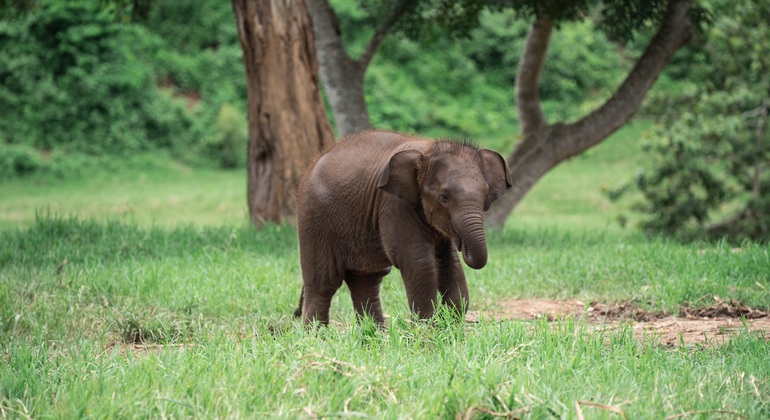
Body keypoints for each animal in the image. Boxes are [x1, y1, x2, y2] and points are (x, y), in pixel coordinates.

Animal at [294, 130, 511, 325]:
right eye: (444, 197)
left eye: (485, 196)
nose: (462, 244)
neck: (428, 148)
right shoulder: (394, 205)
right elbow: (418, 262)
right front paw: (428, 329)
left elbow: (450, 262)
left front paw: (450, 326)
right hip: (314, 222)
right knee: (323, 285)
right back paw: (317, 337)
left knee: (366, 281)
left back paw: (374, 336)